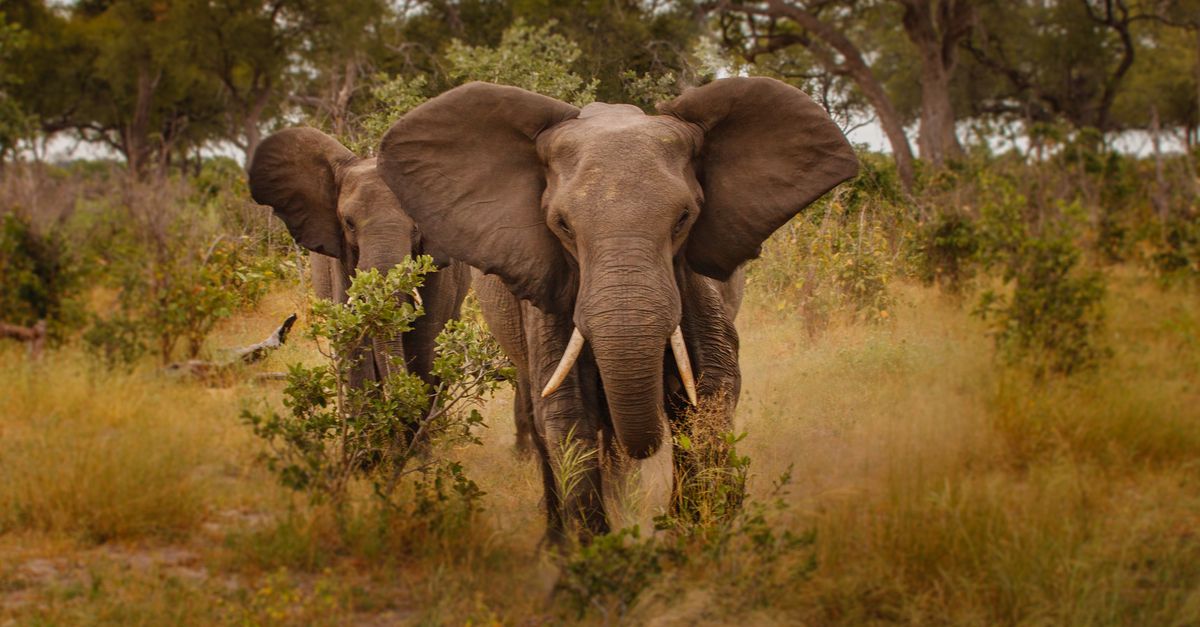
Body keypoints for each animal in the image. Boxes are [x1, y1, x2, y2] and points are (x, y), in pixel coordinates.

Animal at [377, 77, 859, 539]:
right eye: (561, 226)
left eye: (684, 219)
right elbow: (568, 411)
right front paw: (596, 553)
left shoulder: (693, 282)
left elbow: (710, 390)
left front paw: (692, 538)